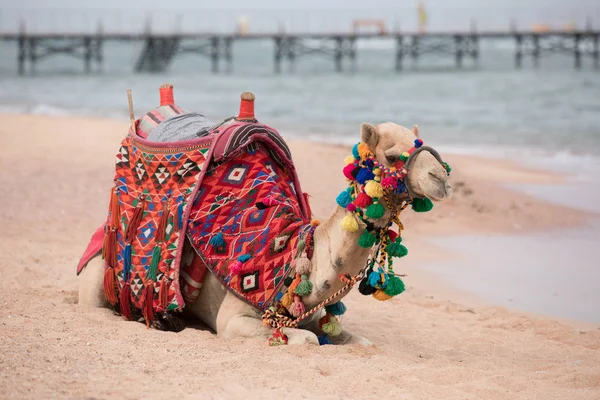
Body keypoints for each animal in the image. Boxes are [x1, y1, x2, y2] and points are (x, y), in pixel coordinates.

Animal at [78, 119, 450, 346]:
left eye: (422, 142)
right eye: (392, 155)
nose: (443, 179)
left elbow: (359, 340)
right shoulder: (234, 320)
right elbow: (307, 340)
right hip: (100, 274)